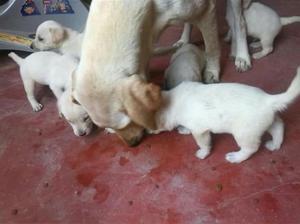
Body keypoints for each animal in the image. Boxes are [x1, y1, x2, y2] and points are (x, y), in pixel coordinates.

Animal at [72, 0, 220, 146]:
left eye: (130, 121)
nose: (132, 144)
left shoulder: (206, 10)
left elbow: (212, 47)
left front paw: (212, 70)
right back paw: (183, 40)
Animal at [151, 66, 300, 163]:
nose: (148, 132)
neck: (173, 100)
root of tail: (268, 100)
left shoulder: (200, 131)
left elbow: (203, 144)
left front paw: (203, 153)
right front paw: (184, 129)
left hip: (243, 133)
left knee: (251, 148)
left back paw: (236, 157)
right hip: (264, 123)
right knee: (279, 126)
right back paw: (275, 144)